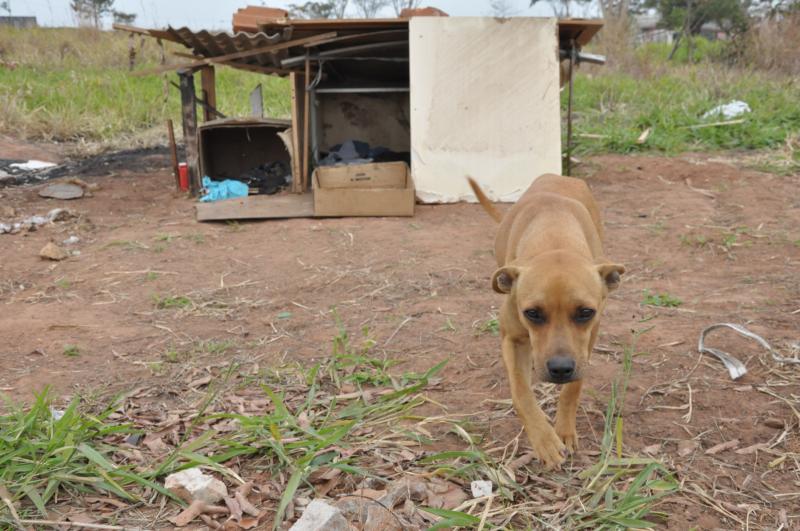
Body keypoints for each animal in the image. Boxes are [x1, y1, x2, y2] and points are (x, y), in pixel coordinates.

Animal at [468, 175, 624, 470]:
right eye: (533, 313)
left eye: (585, 312)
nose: (560, 369)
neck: (555, 236)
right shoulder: (512, 338)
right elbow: (521, 392)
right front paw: (544, 439)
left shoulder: (588, 340)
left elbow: (573, 388)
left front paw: (563, 430)